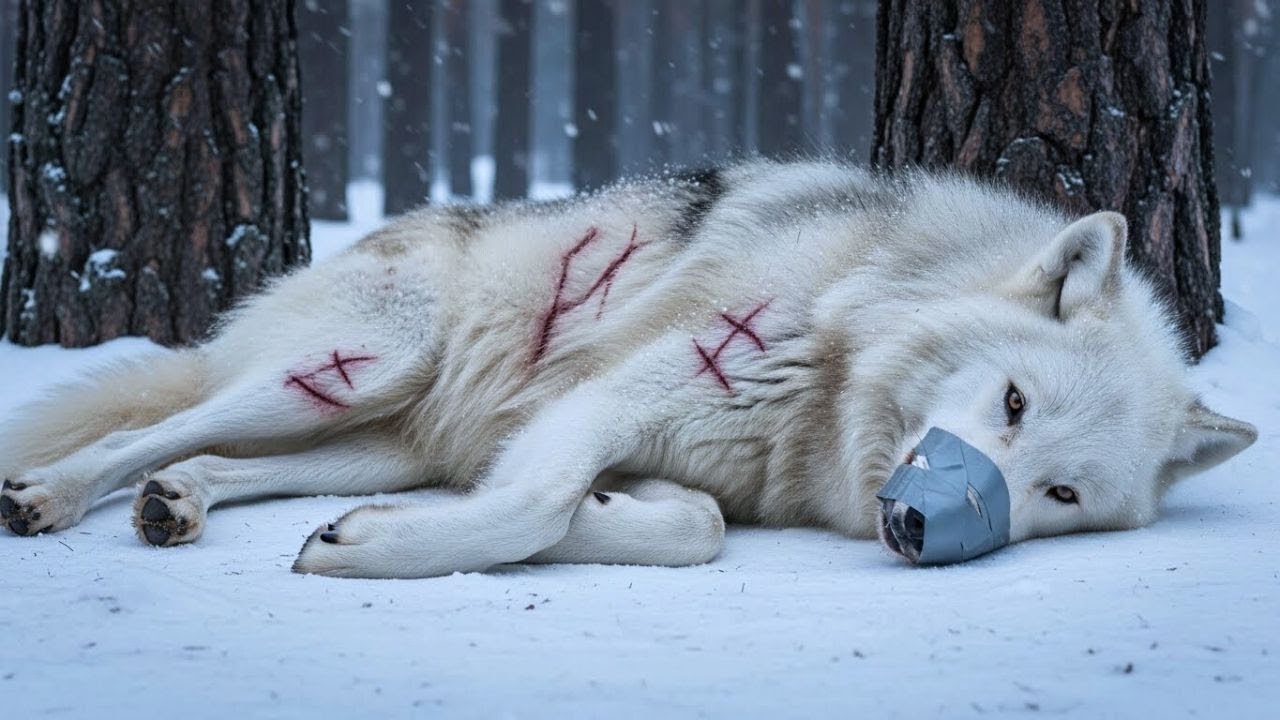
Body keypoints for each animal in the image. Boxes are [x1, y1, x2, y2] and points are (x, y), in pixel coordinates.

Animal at [0, 160, 1257, 577]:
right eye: (1008, 400)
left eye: (1060, 493)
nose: (911, 528)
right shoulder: (628, 391)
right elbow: (527, 509)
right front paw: (375, 558)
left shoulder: (671, 449)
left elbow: (687, 524)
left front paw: (598, 521)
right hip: (361, 365)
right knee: (146, 428)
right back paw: (54, 494)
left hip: (377, 442)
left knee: (224, 460)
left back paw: (177, 503)